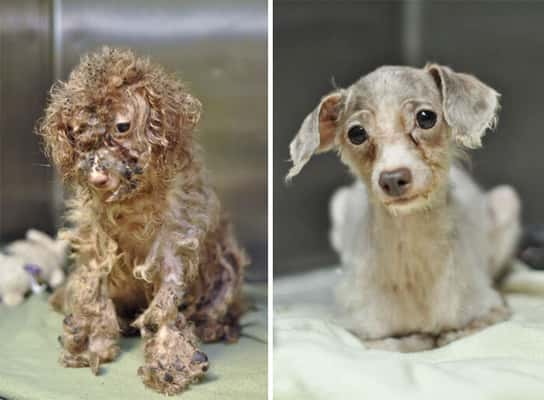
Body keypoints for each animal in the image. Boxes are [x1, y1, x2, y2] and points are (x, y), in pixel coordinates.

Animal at [38, 47, 249, 394]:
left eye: (122, 127)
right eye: (78, 132)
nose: (97, 176)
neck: (132, 200)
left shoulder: (173, 243)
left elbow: (163, 307)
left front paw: (170, 362)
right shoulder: (94, 241)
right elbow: (91, 289)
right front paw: (89, 342)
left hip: (226, 266)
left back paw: (214, 325)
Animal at [288, 64, 524, 352]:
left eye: (426, 117)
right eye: (356, 133)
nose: (392, 178)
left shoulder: (492, 309)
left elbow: (457, 332)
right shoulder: (358, 331)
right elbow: (400, 342)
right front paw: (419, 335)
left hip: (507, 201)